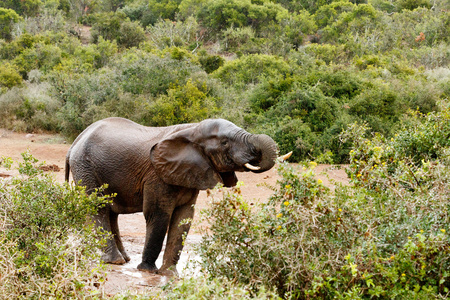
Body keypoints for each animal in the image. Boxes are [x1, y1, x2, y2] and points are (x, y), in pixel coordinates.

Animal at [65, 116, 284, 274]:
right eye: (224, 142)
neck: (192, 130)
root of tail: (75, 142)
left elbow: (184, 219)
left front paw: (169, 274)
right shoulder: (157, 175)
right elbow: (158, 215)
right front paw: (147, 271)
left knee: (112, 212)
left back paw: (125, 259)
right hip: (85, 167)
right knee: (98, 208)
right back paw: (116, 261)